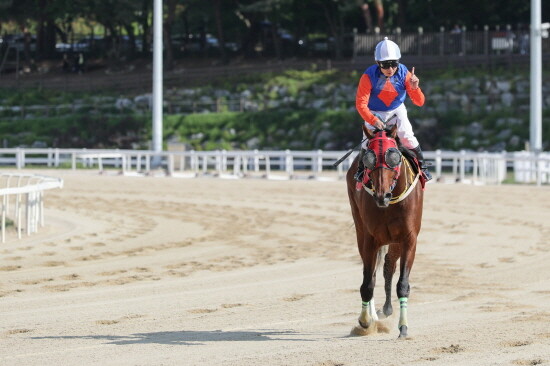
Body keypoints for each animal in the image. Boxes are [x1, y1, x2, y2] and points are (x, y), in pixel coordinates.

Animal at [350, 124, 426, 338]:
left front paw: (403, 327)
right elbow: (367, 283)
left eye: (393, 157)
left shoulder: (408, 239)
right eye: (369, 158)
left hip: (394, 241)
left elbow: (402, 283)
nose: (381, 196)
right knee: (373, 272)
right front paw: (365, 321)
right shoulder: (370, 239)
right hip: (361, 230)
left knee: (388, 266)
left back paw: (387, 308)